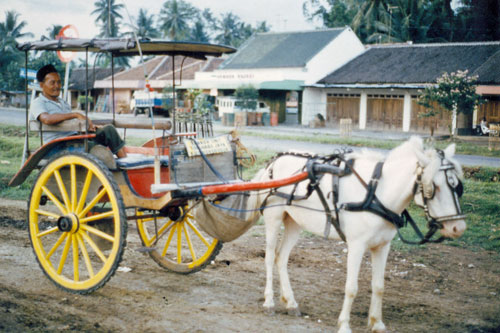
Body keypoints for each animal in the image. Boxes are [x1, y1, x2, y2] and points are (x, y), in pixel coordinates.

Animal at [256, 136, 466, 330]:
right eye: (433, 187)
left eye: (458, 186)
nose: (458, 227)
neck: (376, 193)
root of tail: (273, 162)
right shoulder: (356, 246)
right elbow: (351, 288)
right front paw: (344, 325)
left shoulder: (382, 246)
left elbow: (379, 286)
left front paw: (377, 323)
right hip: (274, 218)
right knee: (269, 258)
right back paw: (269, 302)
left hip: (294, 222)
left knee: (282, 258)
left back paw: (290, 303)